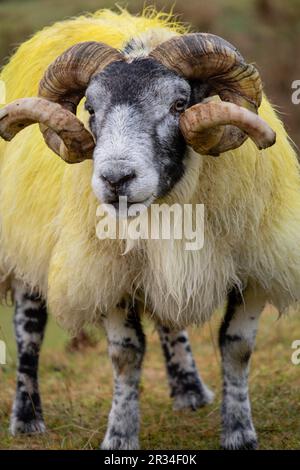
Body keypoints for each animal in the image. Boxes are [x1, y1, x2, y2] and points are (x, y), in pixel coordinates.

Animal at [0, 6, 298, 448]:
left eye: (179, 104)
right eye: (90, 108)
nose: (116, 178)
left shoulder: (256, 269)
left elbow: (237, 347)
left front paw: (239, 431)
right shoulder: (105, 273)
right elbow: (125, 355)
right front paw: (120, 435)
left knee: (168, 319)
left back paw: (189, 389)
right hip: (25, 243)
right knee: (28, 329)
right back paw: (26, 417)